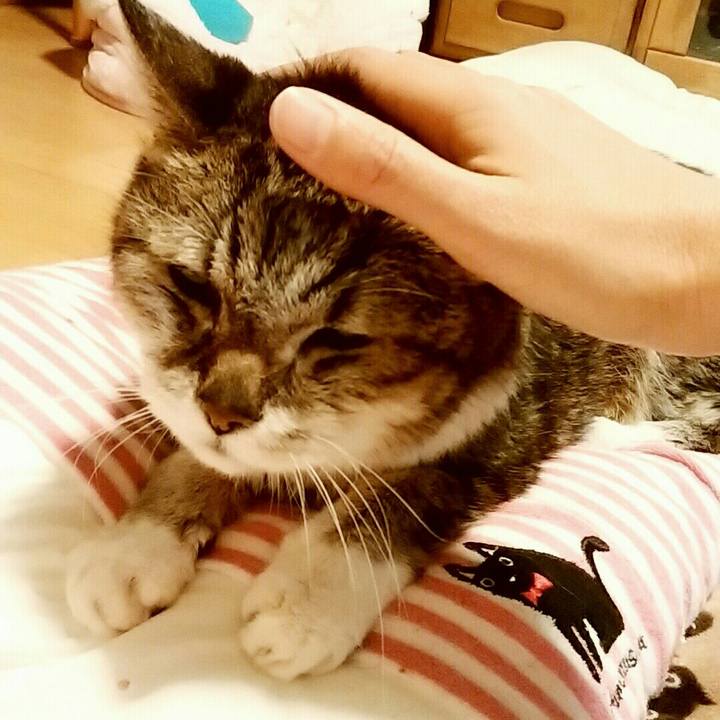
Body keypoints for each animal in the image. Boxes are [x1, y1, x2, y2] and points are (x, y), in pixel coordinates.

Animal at [445, 537, 624, 682]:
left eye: (506, 561)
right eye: (487, 582)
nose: (518, 580)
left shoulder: (571, 613)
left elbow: (586, 644)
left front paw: (597, 667)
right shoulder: (563, 620)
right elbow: (581, 646)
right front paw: (596, 669)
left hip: (596, 606)